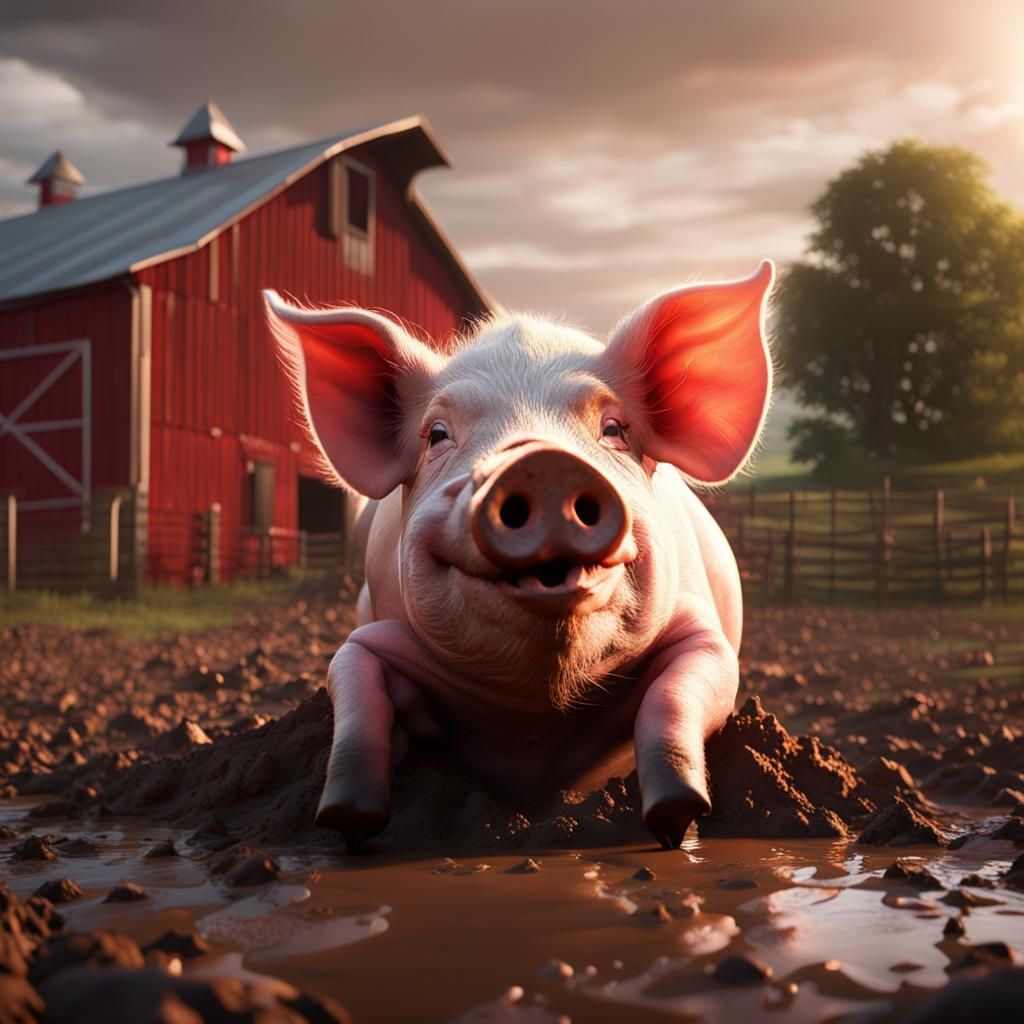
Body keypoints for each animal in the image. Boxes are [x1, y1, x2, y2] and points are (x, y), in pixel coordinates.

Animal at [263, 260, 774, 851]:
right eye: (437, 434)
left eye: (614, 429)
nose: (542, 461)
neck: (533, 717)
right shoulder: (363, 641)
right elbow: (354, 693)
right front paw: (348, 822)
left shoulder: (707, 639)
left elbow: (675, 697)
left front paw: (676, 822)